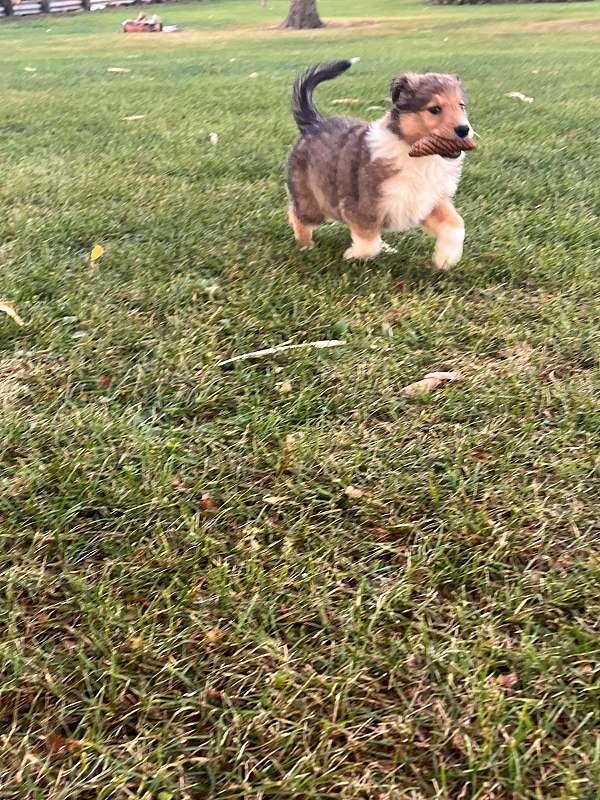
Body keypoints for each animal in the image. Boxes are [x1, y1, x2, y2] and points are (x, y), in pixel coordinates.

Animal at [288, 59, 474, 270]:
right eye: (434, 109)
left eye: (461, 106)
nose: (464, 130)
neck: (417, 156)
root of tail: (314, 124)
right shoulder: (363, 204)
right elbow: (368, 240)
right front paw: (353, 255)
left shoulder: (426, 200)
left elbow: (455, 224)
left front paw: (445, 259)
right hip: (312, 201)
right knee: (296, 214)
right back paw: (306, 246)